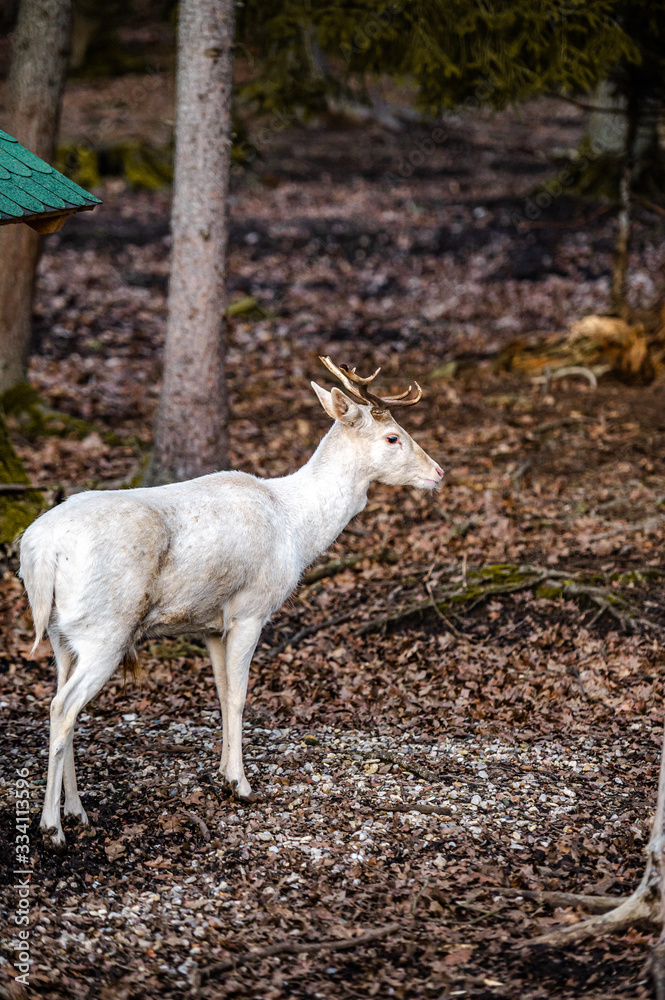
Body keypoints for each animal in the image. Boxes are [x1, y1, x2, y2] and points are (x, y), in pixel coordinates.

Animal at [19, 356, 443, 847]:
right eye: (393, 436)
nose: (439, 473)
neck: (297, 527)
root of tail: (40, 551)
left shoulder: (209, 625)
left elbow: (221, 694)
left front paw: (223, 773)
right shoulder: (251, 610)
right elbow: (240, 696)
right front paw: (241, 785)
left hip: (61, 632)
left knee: (58, 701)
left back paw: (78, 812)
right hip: (106, 629)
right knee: (62, 707)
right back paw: (52, 827)